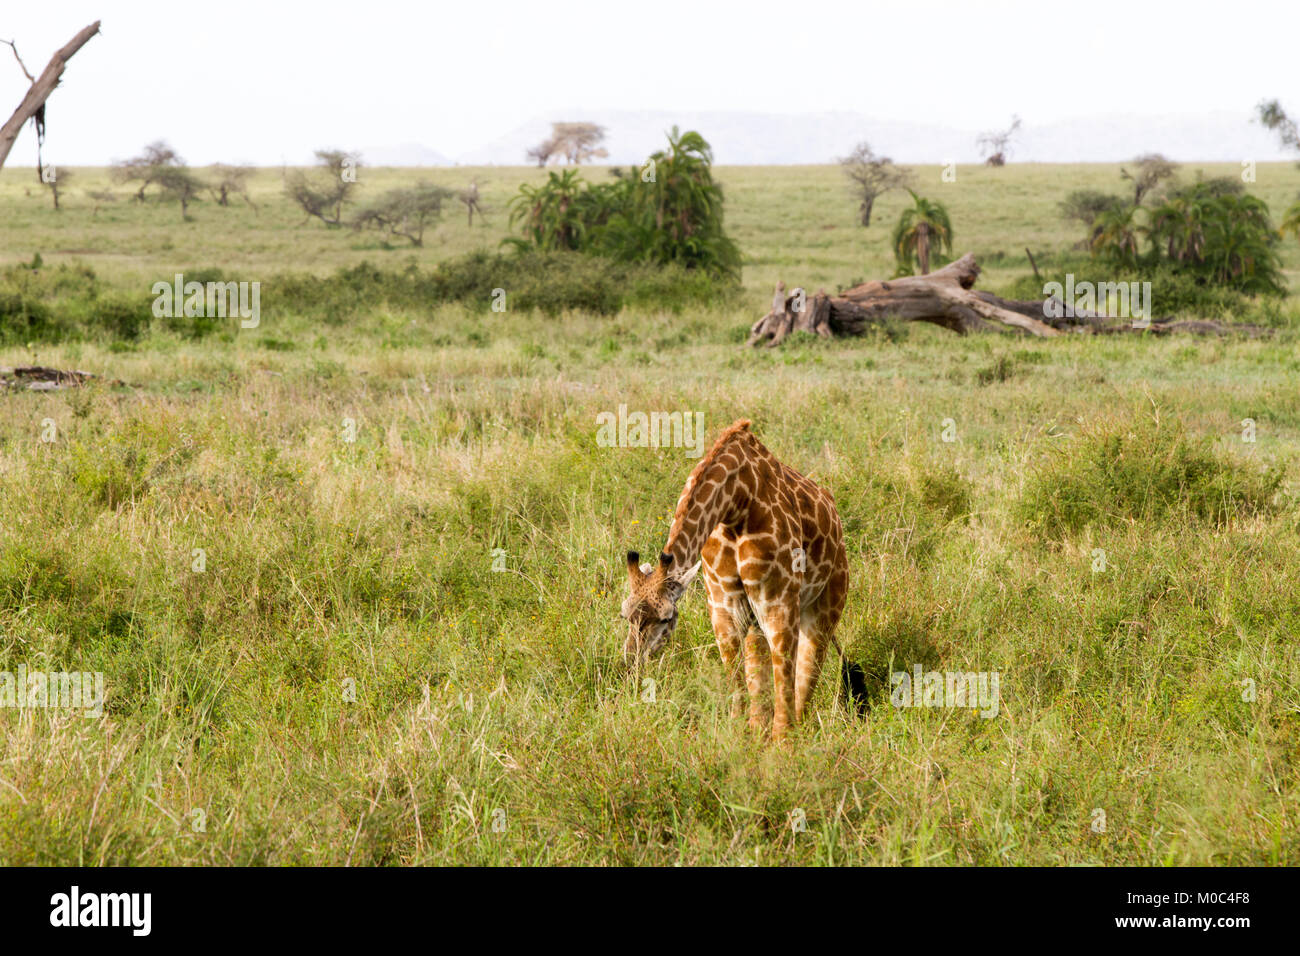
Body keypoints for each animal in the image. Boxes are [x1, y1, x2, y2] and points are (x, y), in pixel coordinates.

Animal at [621, 418, 852, 738]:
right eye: (624, 615)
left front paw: (783, 743)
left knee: (807, 672)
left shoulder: (779, 599)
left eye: (666, 618)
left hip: (828, 604)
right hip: (758, 616)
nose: (632, 662)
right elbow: (737, 674)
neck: (735, 502)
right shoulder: (723, 602)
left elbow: (784, 672)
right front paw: (739, 734)